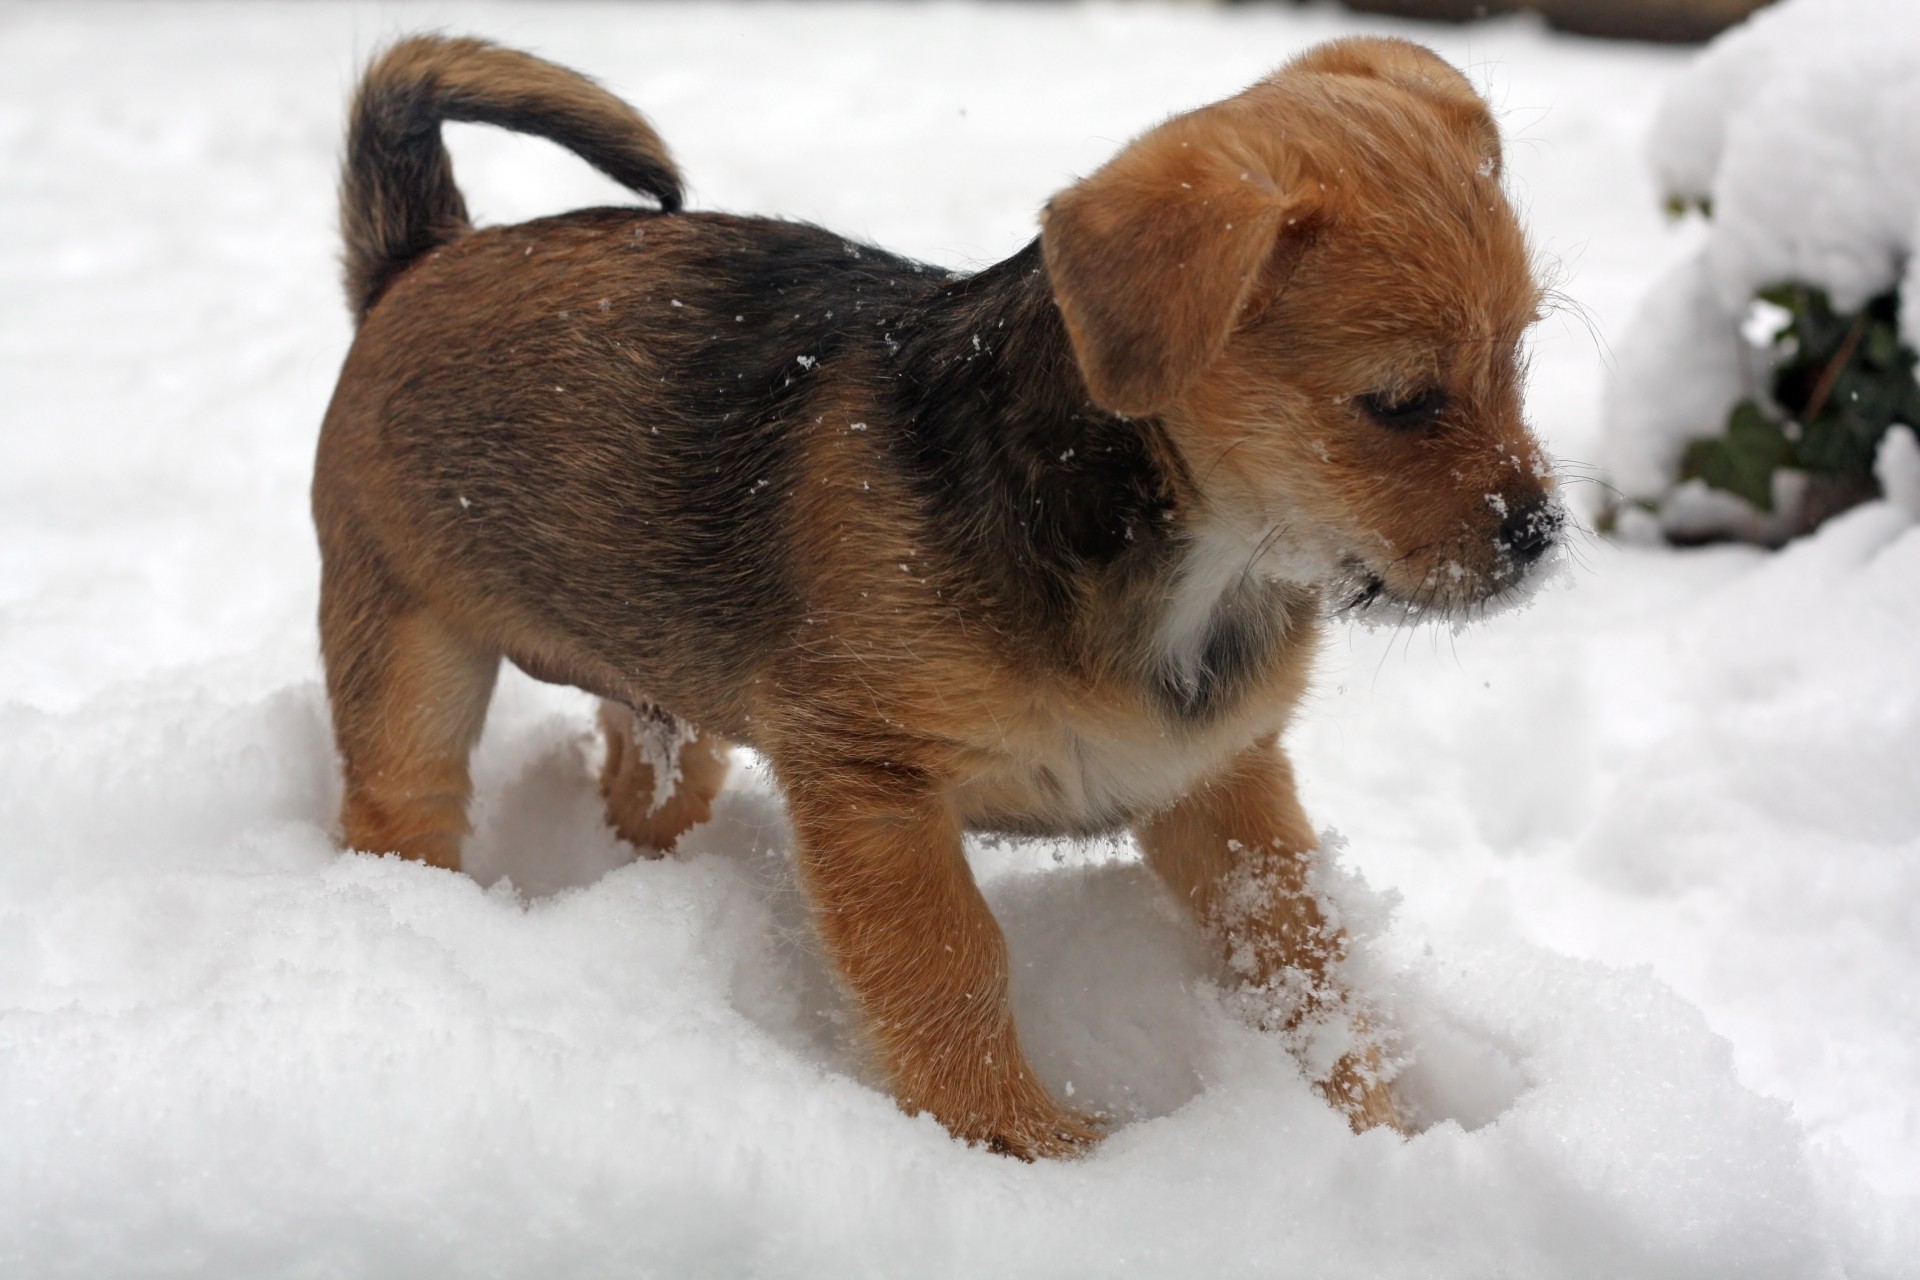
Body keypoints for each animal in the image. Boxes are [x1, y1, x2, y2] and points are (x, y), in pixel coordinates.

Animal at [314, 37, 1566, 1159]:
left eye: (1520, 358)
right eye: (1398, 401)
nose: (1542, 531)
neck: (1186, 554)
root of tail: (419, 256)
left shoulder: (1221, 782)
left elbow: (1306, 958)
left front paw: (1372, 1129)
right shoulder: (875, 783)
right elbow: (950, 967)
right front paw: (1024, 1145)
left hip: (659, 677)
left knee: (643, 778)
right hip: (408, 655)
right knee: (400, 806)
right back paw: (413, 919)